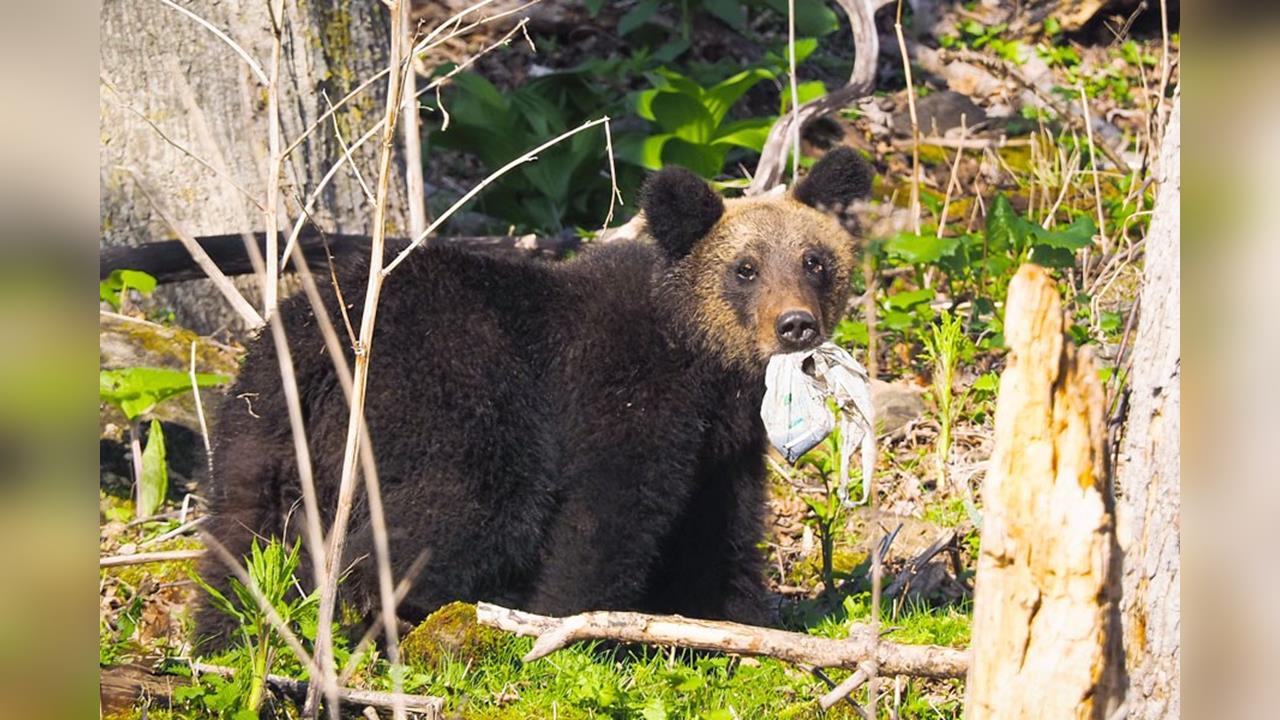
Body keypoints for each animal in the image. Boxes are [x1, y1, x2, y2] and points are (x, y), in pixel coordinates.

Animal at [195, 147, 874, 645]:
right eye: (745, 268)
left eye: (814, 260)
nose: (795, 325)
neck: (704, 363)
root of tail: (309, 349)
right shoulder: (624, 392)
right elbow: (604, 515)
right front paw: (576, 627)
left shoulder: (723, 445)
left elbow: (720, 530)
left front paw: (735, 618)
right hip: (443, 394)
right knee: (476, 503)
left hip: (257, 436)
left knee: (240, 542)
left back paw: (232, 635)